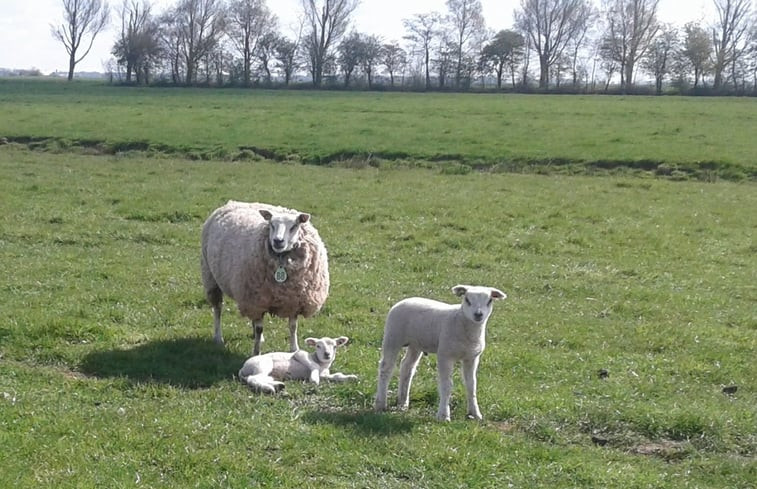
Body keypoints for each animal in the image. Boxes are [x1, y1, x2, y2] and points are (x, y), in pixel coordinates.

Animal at [201, 198, 328, 354]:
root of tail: (233, 202)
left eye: (294, 226)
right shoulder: (255, 301)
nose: (277, 241)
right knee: (218, 310)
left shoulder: (293, 300)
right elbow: (260, 328)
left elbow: (293, 327)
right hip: (211, 277)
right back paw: (218, 337)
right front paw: (256, 353)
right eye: (272, 225)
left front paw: (294, 350)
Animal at [374, 284, 508, 422]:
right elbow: (446, 386)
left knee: (407, 367)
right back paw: (380, 404)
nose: (478, 314)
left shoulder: (472, 358)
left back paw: (403, 403)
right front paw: (443, 415)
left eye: (489, 301)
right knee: (386, 368)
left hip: (415, 343)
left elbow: (471, 385)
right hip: (392, 336)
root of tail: (403, 301)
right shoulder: (445, 355)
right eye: (467, 300)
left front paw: (475, 413)